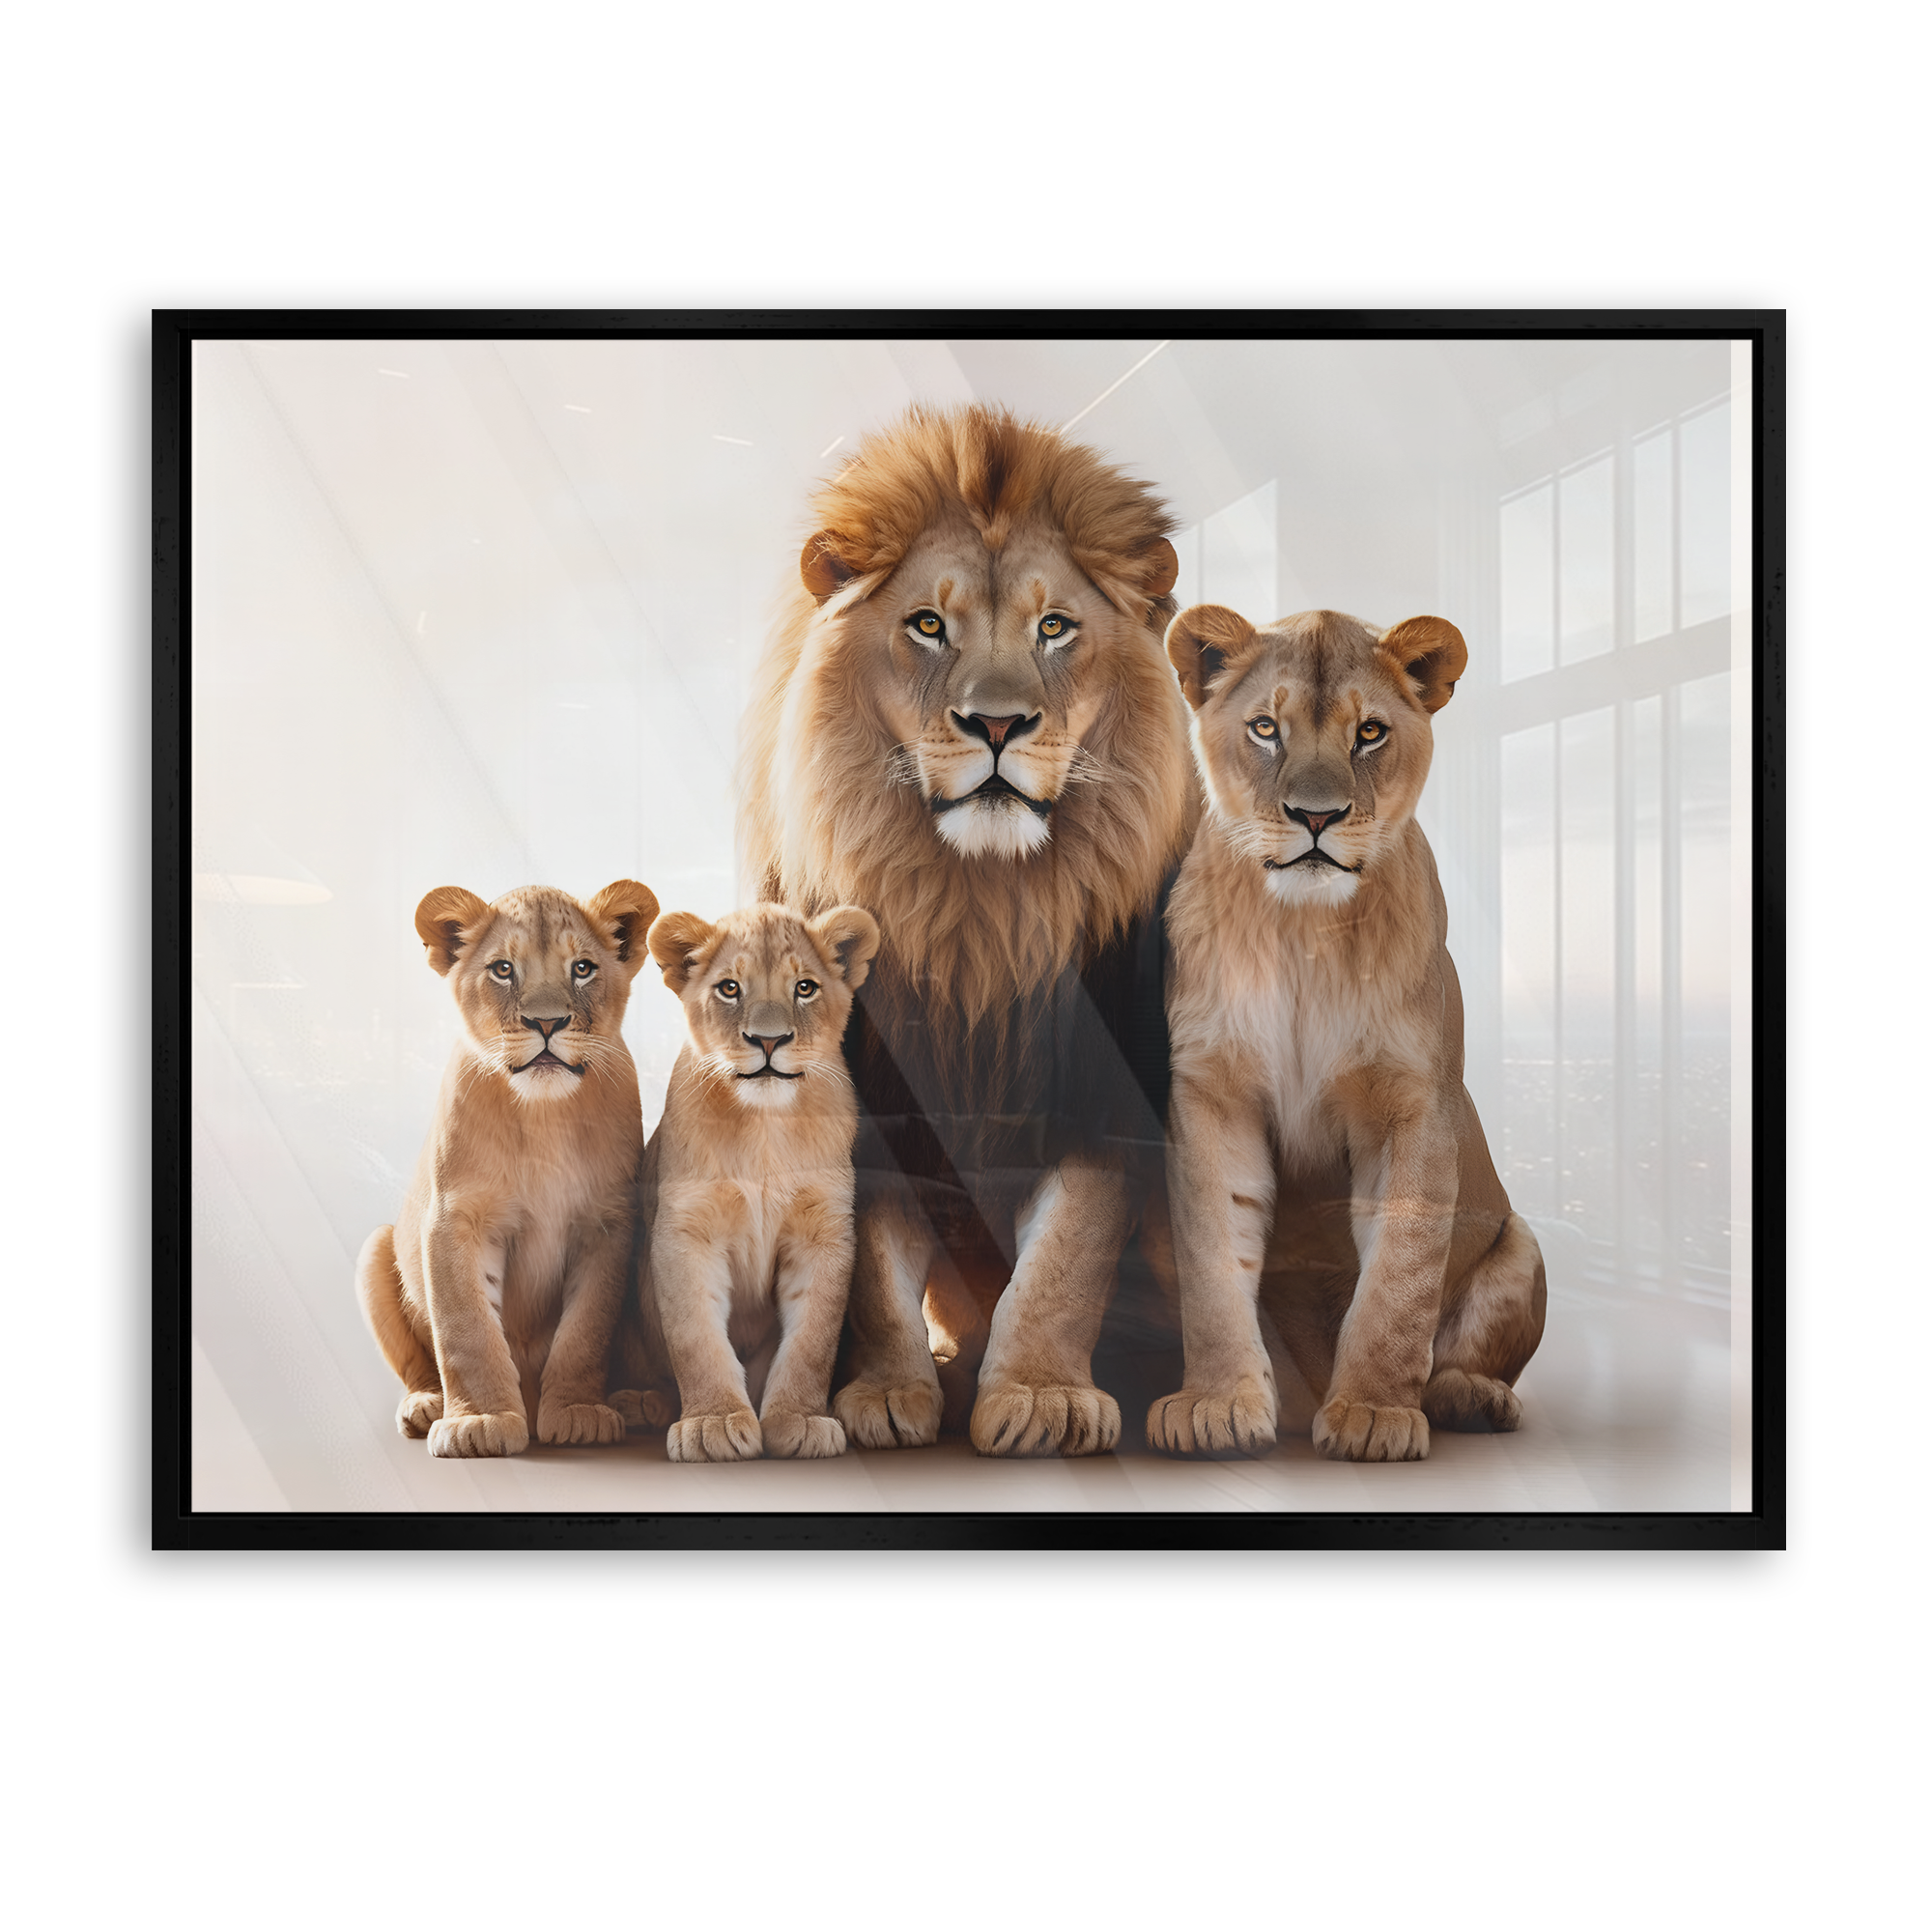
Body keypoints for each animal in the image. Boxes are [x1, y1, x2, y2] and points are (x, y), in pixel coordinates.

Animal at [354, 878, 659, 1458]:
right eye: (502, 969)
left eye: (582, 968)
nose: (547, 1022)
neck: (543, 1115)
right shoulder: (455, 1218)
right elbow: (467, 1328)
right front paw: (480, 1422)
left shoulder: (608, 1222)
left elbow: (585, 1331)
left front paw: (580, 1413)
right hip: (375, 1247)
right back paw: (425, 1405)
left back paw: (634, 1403)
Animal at [603, 902, 881, 1462]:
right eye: (730, 988)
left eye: (805, 987)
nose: (768, 1040)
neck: (764, 1129)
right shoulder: (686, 1232)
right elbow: (697, 1338)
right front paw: (711, 1423)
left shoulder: (823, 1232)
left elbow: (813, 1340)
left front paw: (800, 1419)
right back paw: (640, 1402)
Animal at [739, 403, 1194, 1457]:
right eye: (928, 624)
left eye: (1054, 626)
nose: (997, 724)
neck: (976, 913)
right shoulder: (870, 1094)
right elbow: (870, 1264)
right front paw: (884, 1391)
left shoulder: (1104, 1094)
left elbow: (1066, 1253)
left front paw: (1040, 1395)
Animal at [1149, 605, 1546, 1462]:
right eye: (1266, 728)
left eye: (1369, 733)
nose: (1316, 816)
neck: (1305, 932)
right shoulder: (1211, 1094)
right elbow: (1211, 1259)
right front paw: (1216, 1404)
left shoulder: (1415, 1104)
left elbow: (1400, 1275)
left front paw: (1372, 1412)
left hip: (1521, 1244)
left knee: (1468, 1350)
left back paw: (1469, 1397)